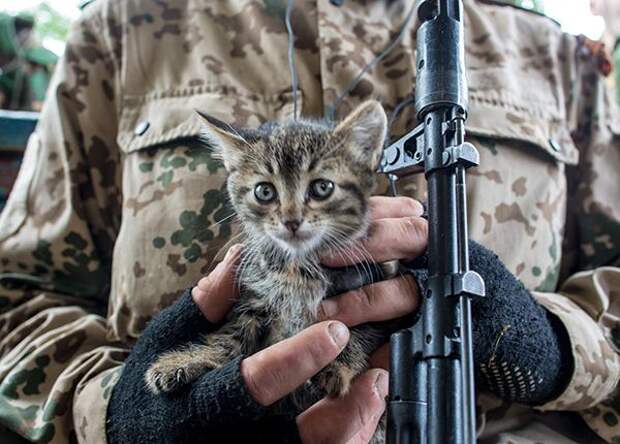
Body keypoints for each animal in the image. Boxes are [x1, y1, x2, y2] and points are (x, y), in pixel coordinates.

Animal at [146, 101, 398, 440]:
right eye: (264, 192)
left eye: (322, 187)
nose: (291, 220)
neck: (299, 266)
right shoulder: (255, 296)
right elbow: (231, 336)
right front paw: (187, 360)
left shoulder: (370, 287)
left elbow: (356, 330)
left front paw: (335, 366)